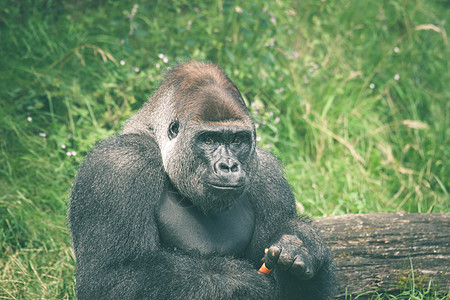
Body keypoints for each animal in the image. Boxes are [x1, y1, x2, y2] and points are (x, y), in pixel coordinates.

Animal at [69, 59, 334, 298]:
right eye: (209, 139)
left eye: (237, 140)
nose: (229, 166)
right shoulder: (119, 164)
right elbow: (112, 277)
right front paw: (240, 282)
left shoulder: (270, 178)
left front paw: (303, 246)